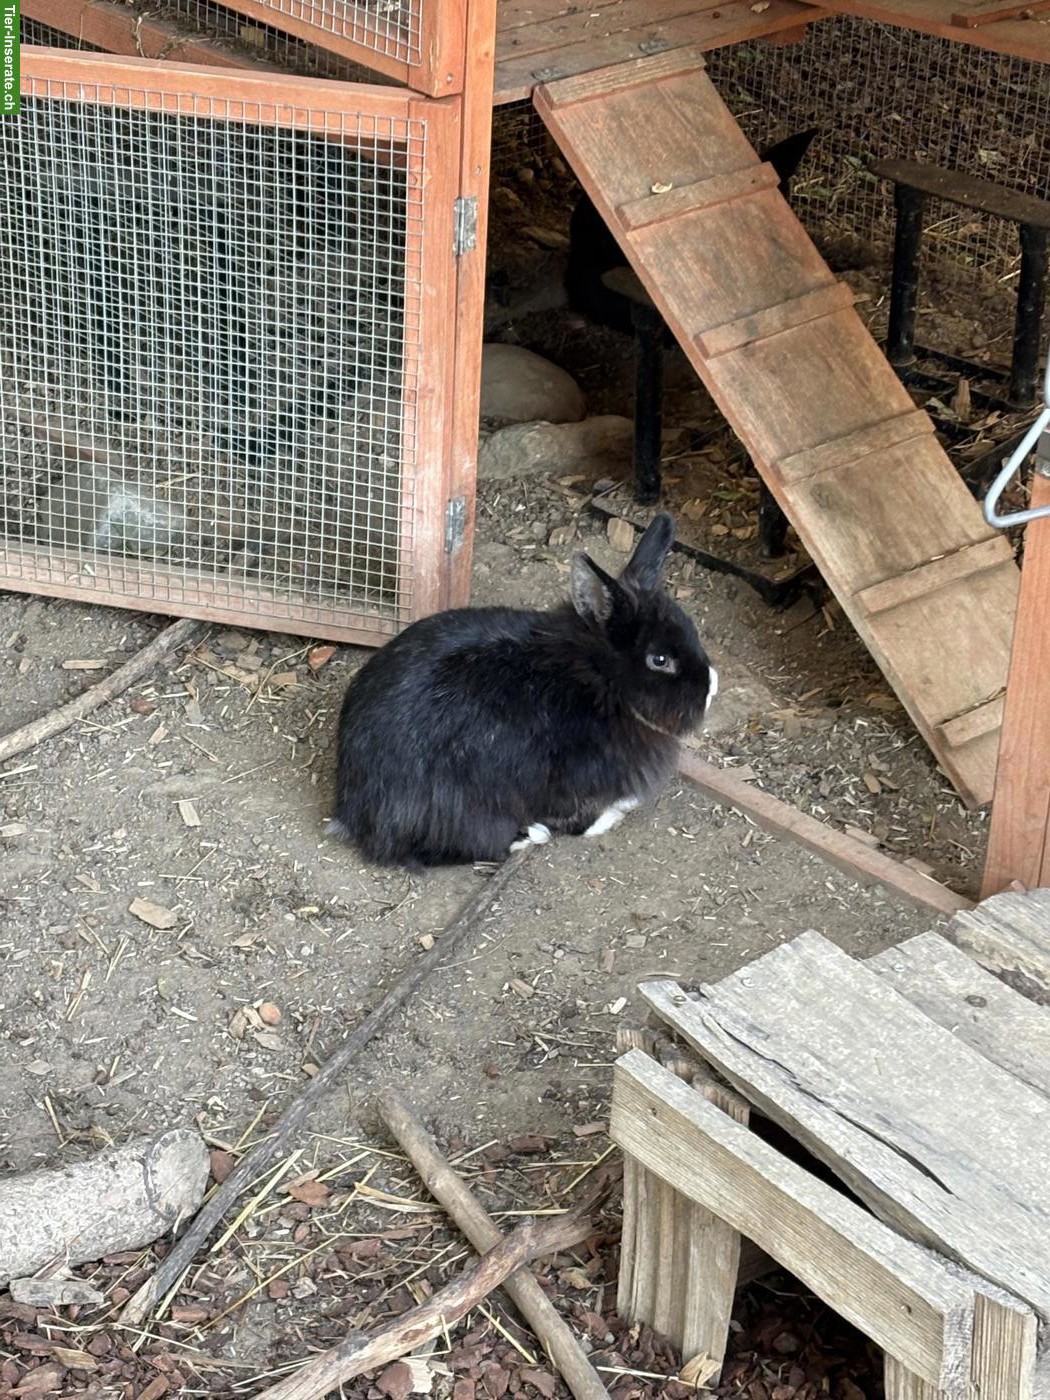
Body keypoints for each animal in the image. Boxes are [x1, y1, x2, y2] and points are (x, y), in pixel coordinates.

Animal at [331, 513, 716, 870]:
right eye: (660, 659)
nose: (712, 687)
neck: (600, 679)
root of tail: (353, 811)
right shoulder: (574, 785)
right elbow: (579, 821)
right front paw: (611, 816)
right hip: (467, 808)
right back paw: (527, 837)